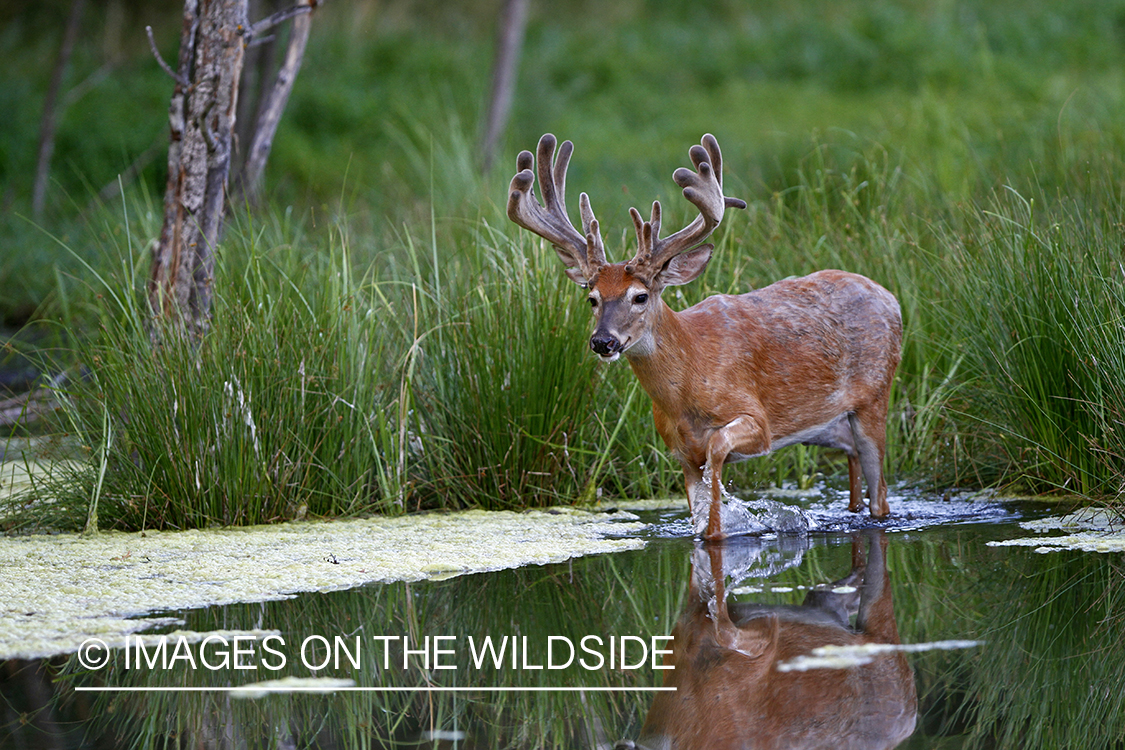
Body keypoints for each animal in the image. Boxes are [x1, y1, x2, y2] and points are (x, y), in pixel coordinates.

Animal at [510, 133, 904, 539]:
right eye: (592, 298)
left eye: (640, 296)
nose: (603, 341)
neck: (689, 382)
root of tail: (890, 298)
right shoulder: (678, 449)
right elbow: (698, 508)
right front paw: (710, 527)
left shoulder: (757, 418)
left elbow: (717, 451)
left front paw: (722, 525)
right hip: (829, 424)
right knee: (851, 458)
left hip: (875, 396)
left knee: (880, 494)